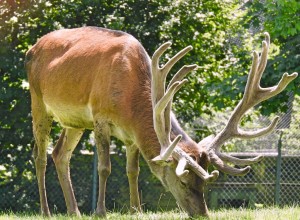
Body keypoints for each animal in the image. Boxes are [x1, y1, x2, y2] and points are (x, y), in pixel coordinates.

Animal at [26, 26, 298, 217]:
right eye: (183, 179)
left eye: (204, 182)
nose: (202, 214)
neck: (130, 101)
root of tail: (32, 48)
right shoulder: (100, 117)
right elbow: (105, 167)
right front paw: (101, 212)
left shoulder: (130, 135)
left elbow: (133, 170)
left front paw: (136, 210)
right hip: (38, 101)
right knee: (39, 155)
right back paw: (46, 211)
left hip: (74, 121)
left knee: (60, 154)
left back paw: (74, 211)